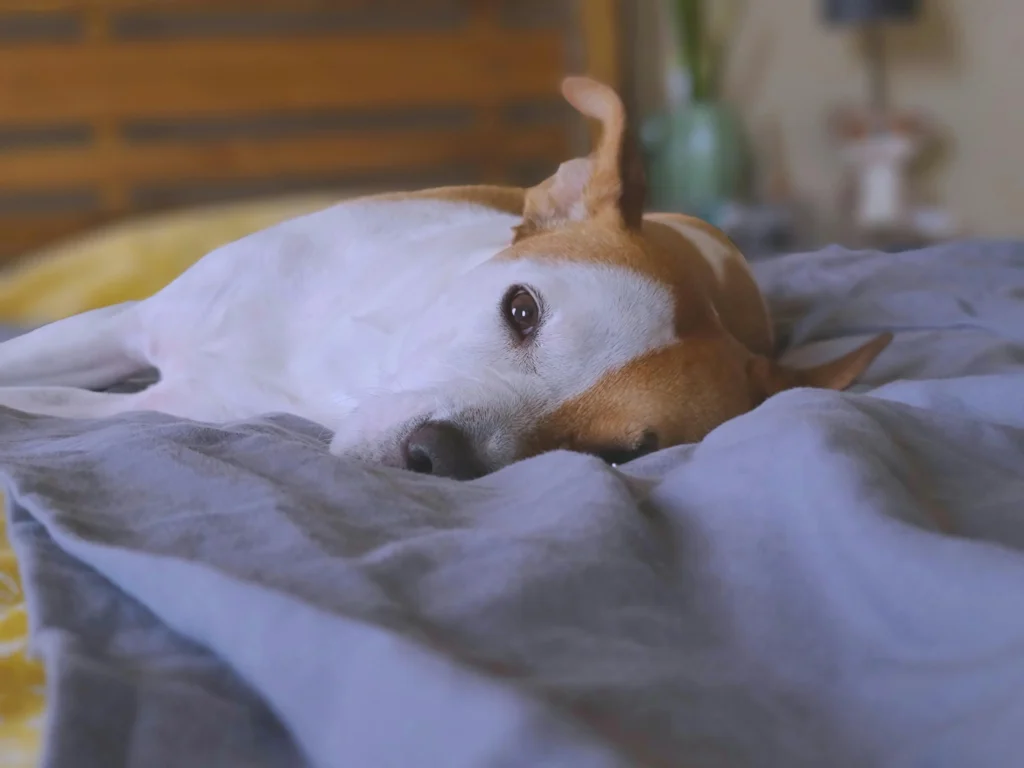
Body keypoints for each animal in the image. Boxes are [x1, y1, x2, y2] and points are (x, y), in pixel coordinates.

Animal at [0, 75, 888, 479]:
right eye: (522, 309)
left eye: (614, 456)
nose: (435, 455)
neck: (339, 365)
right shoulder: (127, 324)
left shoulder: (171, 403)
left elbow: (50, 403)